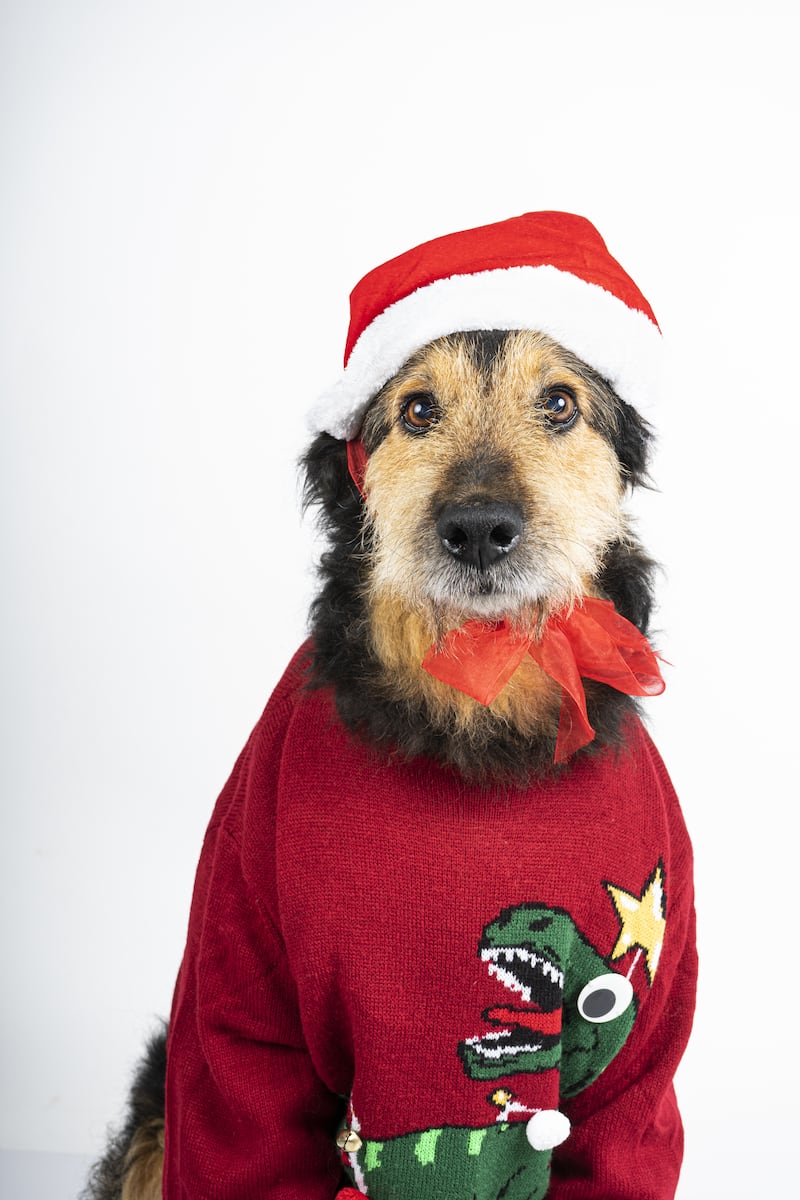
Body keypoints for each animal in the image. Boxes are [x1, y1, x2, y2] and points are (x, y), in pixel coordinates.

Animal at [86, 216, 695, 1200]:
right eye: (416, 411)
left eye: (560, 404)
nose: (479, 528)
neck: (477, 702)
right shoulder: (238, 993)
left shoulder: (642, 1046)